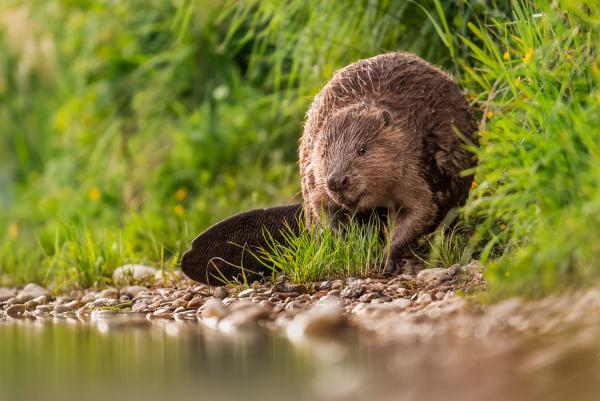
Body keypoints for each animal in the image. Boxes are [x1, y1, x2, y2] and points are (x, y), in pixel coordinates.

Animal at [300, 50, 478, 272]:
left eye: (362, 150)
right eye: (324, 153)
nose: (337, 181)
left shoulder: (412, 170)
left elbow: (422, 209)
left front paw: (386, 259)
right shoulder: (317, 182)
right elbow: (321, 206)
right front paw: (349, 243)